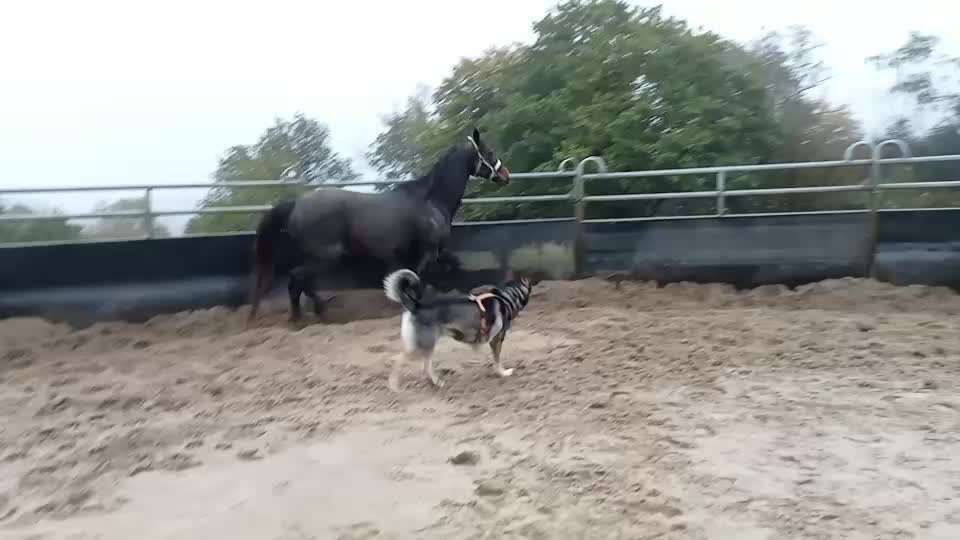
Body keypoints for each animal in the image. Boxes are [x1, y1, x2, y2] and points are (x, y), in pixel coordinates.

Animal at [248, 128, 510, 322]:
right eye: (489, 151)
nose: (505, 175)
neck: (431, 201)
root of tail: (297, 204)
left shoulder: (437, 251)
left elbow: (454, 265)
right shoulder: (427, 252)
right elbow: (418, 279)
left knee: (301, 281)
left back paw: (309, 314)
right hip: (326, 256)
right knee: (297, 279)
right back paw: (308, 315)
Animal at [380, 268, 532, 390]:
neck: (506, 296)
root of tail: (416, 305)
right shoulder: (497, 339)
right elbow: (497, 359)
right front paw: (502, 372)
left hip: (422, 346)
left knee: (423, 367)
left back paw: (435, 383)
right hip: (423, 344)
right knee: (404, 361)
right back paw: (395, 385)